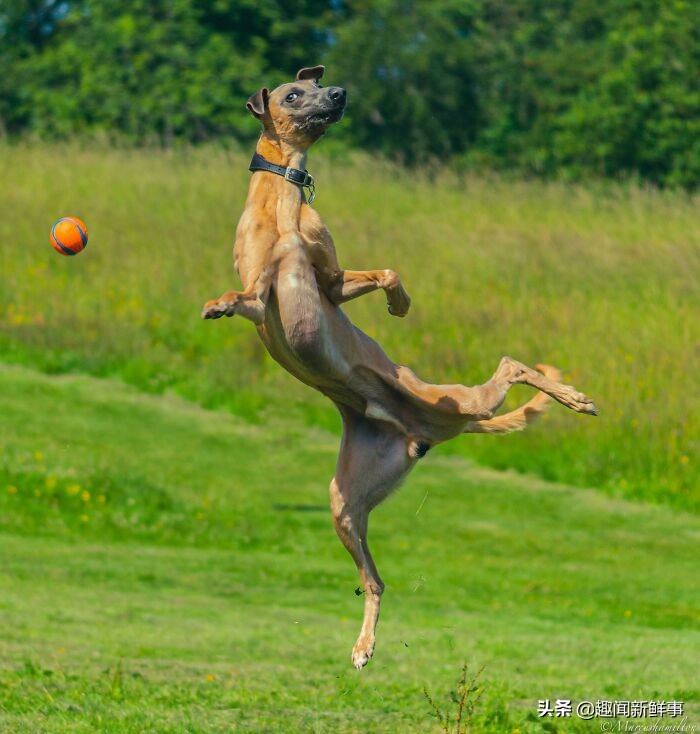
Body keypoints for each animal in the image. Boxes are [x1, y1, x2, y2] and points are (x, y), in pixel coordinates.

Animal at [201, 66, 596, 668]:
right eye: (293, 94)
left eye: (313, 86)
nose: (338, 92)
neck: (284, 201)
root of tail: (414, 430)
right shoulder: (262, 296)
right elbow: (240, 295)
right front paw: (215, 304)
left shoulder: (327, 282)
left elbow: (386, 272)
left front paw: (400, 303)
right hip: (346, 503)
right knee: (375, 580)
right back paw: (363, 646)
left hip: (450, 406)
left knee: (511, 366)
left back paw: (573, 396)